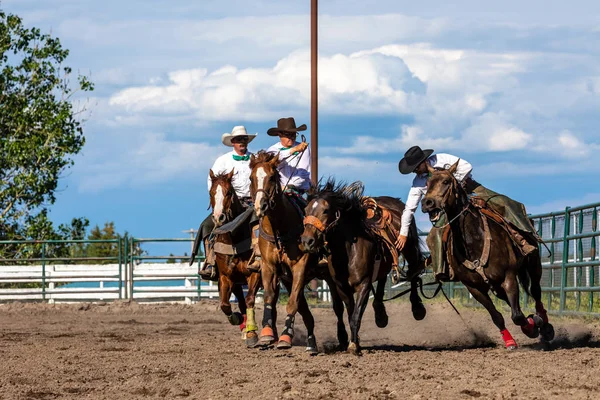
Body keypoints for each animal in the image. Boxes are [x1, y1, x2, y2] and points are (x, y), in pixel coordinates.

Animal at [207, 169, 262, 346]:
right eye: (211, 192)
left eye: (229, 192)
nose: (219, 217)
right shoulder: (226, 277)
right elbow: (225, 304)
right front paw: (238, 320)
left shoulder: (255, 273)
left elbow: (250, 299)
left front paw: (252, 334)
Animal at [248, 151, 346, 354]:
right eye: (251, 178)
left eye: (272, 177)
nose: (261, 206)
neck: (279, 229)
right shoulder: (268, 267)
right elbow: (270, 297)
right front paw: (266, 334)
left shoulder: (300, 266)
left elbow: (292, 302)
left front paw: (285, 338)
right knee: (306, 312)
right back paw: (311, 344)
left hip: (330, 276)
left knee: (337, 307)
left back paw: (341, 338)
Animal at [300, 180, 426, 354]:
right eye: (305, 210)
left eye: (325, 210)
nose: (307, 241)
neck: (348, 251)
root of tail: (396, 202)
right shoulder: (342, 288)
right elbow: (350, 313)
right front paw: (355, 341)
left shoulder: (364, 285)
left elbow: (356, 316)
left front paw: (354, 345)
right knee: (383, 278)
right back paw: (380, 315)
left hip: (410, 248)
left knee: (414, 271)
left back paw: (417, 308)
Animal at [422, 161, 552, 348]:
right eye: (427, 184)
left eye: (446, 181)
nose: (427, 203)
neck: (474, 240)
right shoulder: (474, 287)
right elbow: (497, 316)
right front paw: (511, 340)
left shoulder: (508, 275)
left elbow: (517, 315)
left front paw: (533, 327)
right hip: (495, 285)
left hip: (533, 263)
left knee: (535, 291)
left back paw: (546, 326)